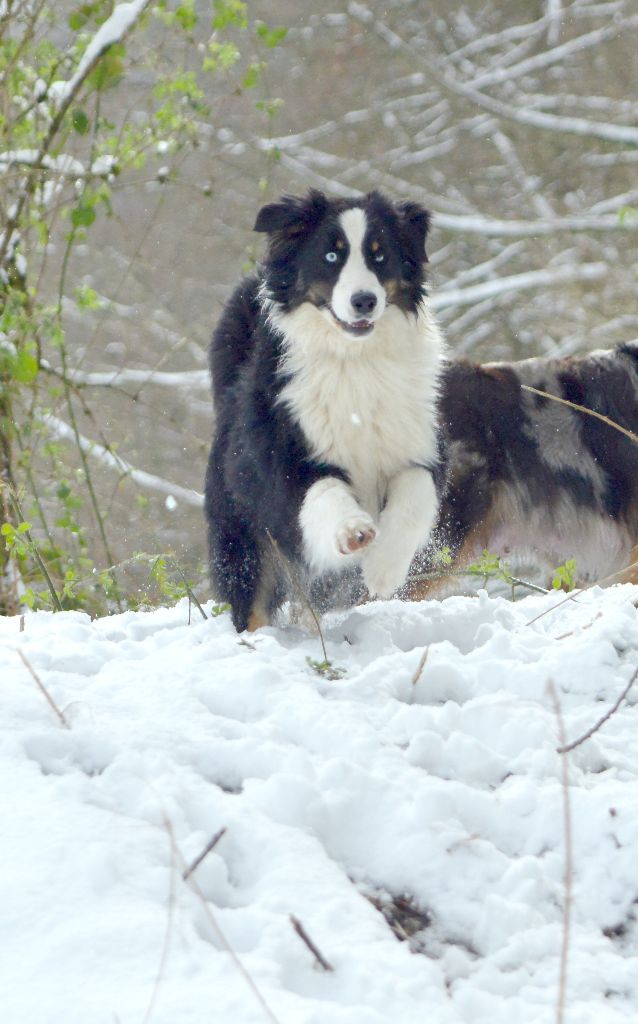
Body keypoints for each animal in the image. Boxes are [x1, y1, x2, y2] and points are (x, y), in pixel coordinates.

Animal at [206, 188, 446, 626]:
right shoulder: (286, 458)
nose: (364, 301)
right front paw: (353, 531)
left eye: (379, 255)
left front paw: (384, 567)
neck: (355, 360)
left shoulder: (422, 445)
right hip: (245, 540)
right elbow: (325, 492)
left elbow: (415, 495)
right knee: (252, 601)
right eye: (331, 255)